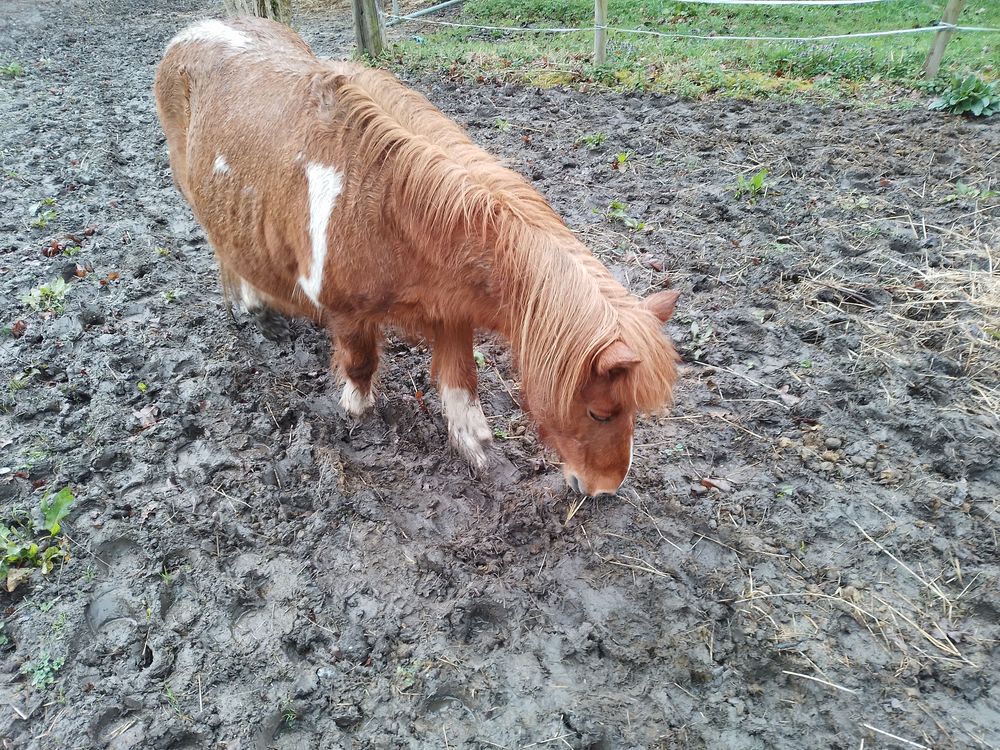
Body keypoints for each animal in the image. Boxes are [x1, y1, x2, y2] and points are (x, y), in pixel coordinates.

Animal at [154, 17, 680, 497]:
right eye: (598, 412)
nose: (604, 489)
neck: (388, 208)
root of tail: (192, 31)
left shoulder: (451, 314)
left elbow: (462, 389)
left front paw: (482, 455)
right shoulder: (349, 314)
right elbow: (361, 364)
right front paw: (357, 414)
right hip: (198, 198)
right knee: (227, 254)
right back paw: (256, 313)